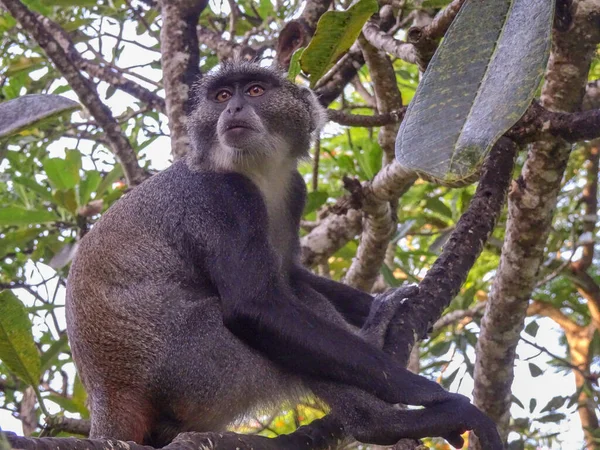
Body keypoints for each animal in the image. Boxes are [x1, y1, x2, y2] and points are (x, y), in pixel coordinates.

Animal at [65, 60, 504, 450]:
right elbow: (255, 306)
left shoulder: (294, 190)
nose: (233, 108)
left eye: (255, 90)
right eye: (222, 96)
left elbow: (291, 274)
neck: (258, 172)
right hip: (196, 364)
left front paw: (386, 306)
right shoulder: (224, 198)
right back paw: (381, 418)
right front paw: (422, 390)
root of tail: (106, 390)